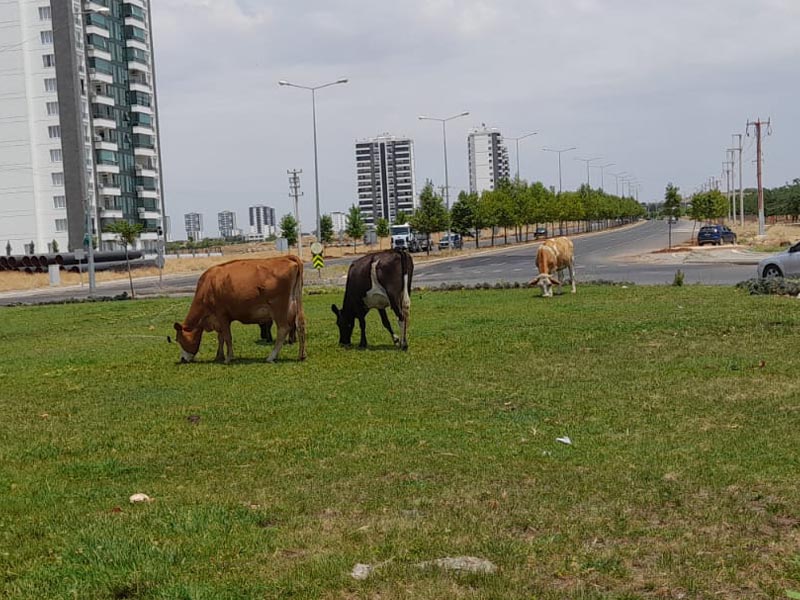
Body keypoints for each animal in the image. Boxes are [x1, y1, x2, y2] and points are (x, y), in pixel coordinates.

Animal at [172, 255, 306, 364]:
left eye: (178, 339)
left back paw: (271, 357)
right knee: (300, 325)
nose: (182, 359)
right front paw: (219, 356)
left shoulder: (222, 315)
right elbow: (220, 337)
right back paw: (301, 355)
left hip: (279, 308)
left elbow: (227, 337)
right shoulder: (218, 319)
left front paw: (228, 358)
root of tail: (286, 257)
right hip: (296, 304)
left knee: (283, 329)